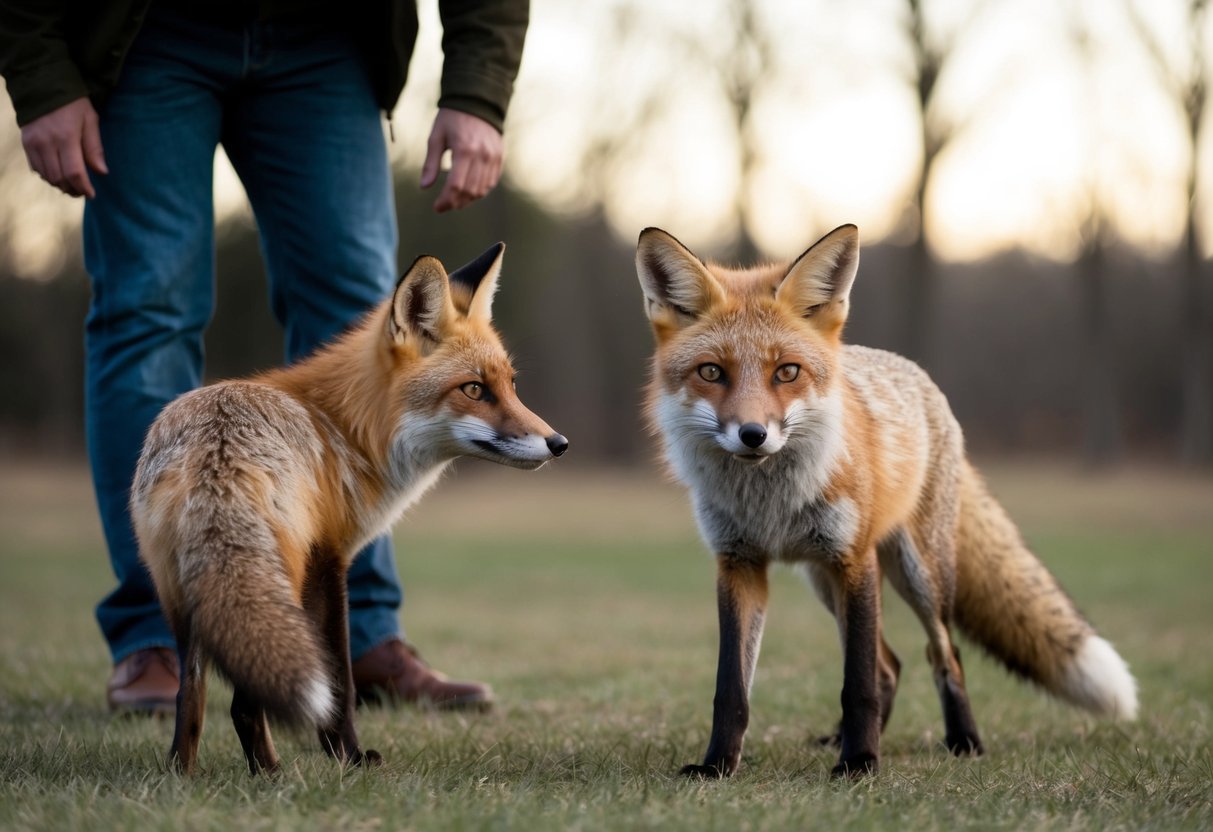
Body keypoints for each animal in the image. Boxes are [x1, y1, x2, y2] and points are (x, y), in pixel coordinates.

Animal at [131, 243, 567, 776]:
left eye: (510, 385)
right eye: (473, 389)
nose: (558, 443)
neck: (349, 428)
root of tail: (216, 448)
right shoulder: (330, 558)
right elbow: (341, 677)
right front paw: (351, 758)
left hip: (185, 593)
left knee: (190, 696)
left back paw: (186, 775)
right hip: (278, 579)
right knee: (244, 702)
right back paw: (272, 776)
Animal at [635, 223, 1137, 778]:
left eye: (786, 372)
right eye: (711, 373)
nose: (752, 435)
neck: (771, 504)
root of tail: (916, 373)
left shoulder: (854, 560)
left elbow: (856, 685)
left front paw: (860, 764)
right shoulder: (739, 564)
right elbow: (732, 689)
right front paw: (718, 766)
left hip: (917, 575)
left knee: (941, 654)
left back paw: (962, 740)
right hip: (823, 580)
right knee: (890, 665)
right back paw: (846, 738)